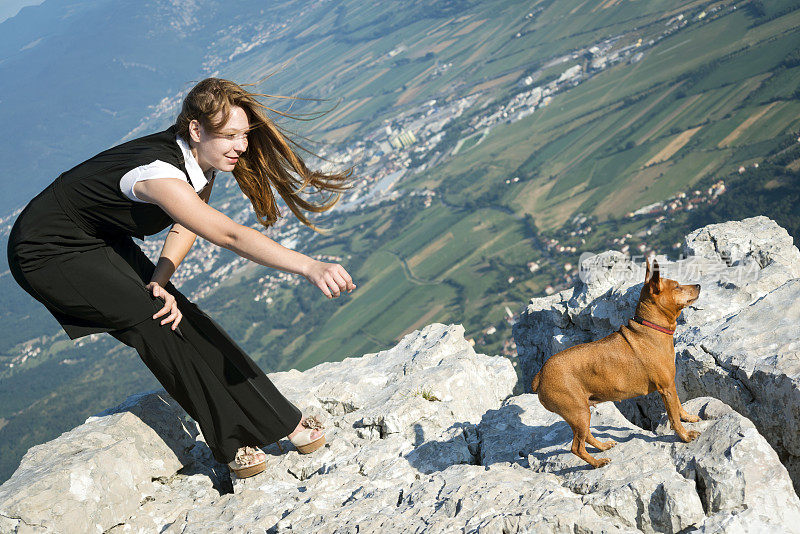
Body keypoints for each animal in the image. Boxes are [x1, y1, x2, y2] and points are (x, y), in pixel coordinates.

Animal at [532, 260, 700, 468]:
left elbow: (679, 407)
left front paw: (688, 417)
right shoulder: (666, 388)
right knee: (576, 447)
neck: (650, 329)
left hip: (581, 414)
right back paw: (597, 463)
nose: (699, 285)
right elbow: (674, 417)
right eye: (677, 286)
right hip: (578, 412)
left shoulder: (671, 386)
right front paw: (684, 436)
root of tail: (540, 375)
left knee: (586, 436)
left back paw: (603, 446)